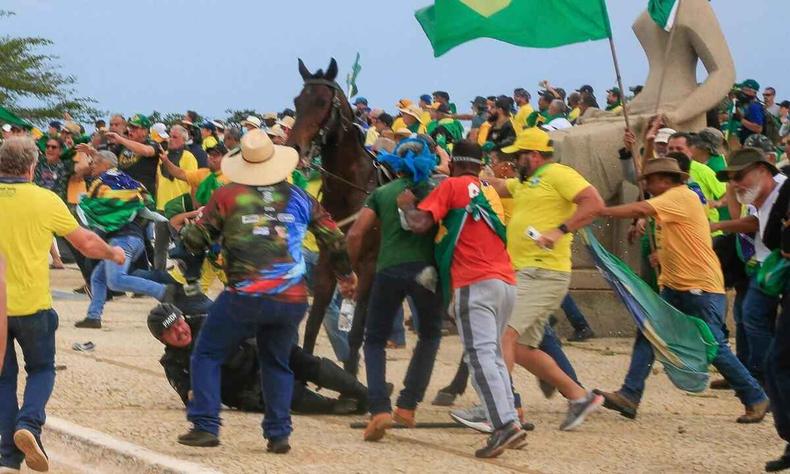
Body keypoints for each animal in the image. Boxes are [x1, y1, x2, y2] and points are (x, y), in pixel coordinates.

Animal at [290, 59, 382, 376]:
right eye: (297, 101)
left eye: (321, 102)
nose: (295, 147)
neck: (350, 188)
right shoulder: (327, 263)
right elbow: (313, 324)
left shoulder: (368, 267)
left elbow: (355, 332)